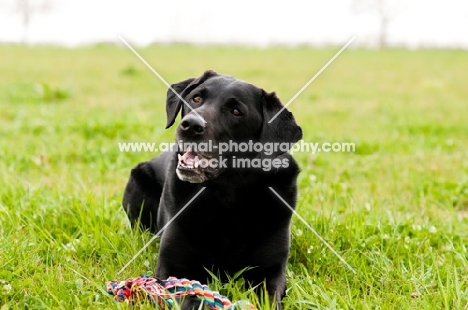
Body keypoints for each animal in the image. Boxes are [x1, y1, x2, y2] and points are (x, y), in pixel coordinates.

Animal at [122, 69, 302, 308]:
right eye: (196, 98)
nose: (190, 125)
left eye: (236, 112)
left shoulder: (271, 272)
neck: (227, 198)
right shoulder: (173, 267)